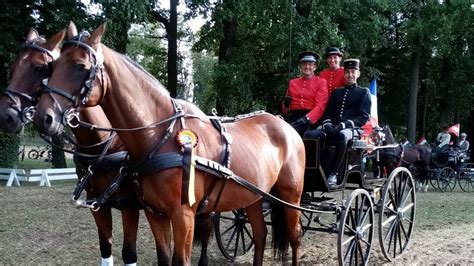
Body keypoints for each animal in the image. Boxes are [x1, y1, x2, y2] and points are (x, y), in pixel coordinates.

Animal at [0, 28, 142, 264]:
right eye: (13, 67)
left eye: (40, 68)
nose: (6, 116)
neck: (102, 144)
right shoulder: (96, 205)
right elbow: (106, 248)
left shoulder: (130, 206)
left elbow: (129, 253)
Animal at [35, 22, 306, 266]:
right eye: (51, 67)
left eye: (81, 66)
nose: (43, 117)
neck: (159, 137)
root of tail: (286, 126)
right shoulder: (155, 214)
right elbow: (164, 259)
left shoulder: (184, 216)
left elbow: (180, 260)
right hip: (253, 197)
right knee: (260, 235)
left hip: (290, 196)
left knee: (294, 238)